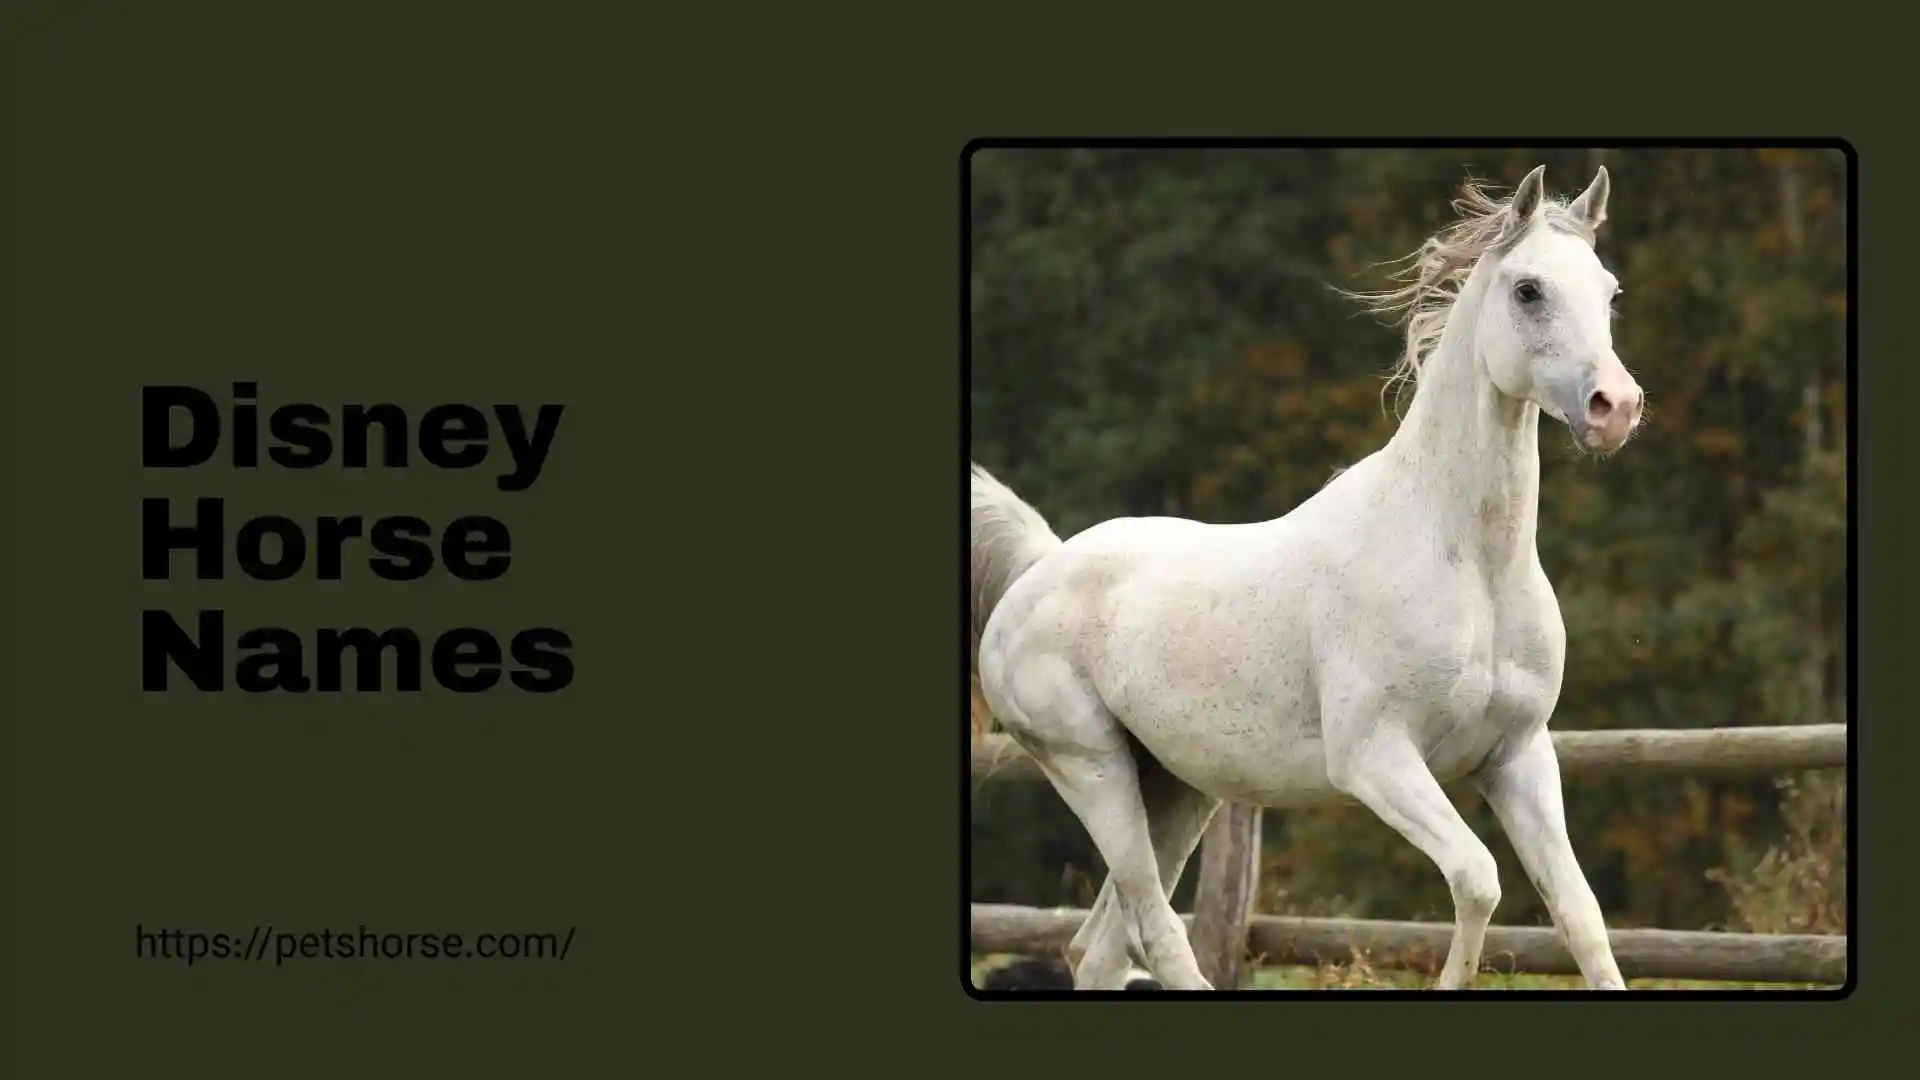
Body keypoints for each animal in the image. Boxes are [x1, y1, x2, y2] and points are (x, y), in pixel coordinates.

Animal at [969, 164, 1642, 991]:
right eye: (1528, 289)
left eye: (1609, 291)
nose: (1616, 408)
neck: (1466, 562)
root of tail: (1038, 569)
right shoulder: (1377, 761)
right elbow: (1478, 880)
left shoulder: (1518, 757)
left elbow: (1581, 918)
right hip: (1093, 772)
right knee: (1157, 932)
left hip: (1176, 788)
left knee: (1098, 947)